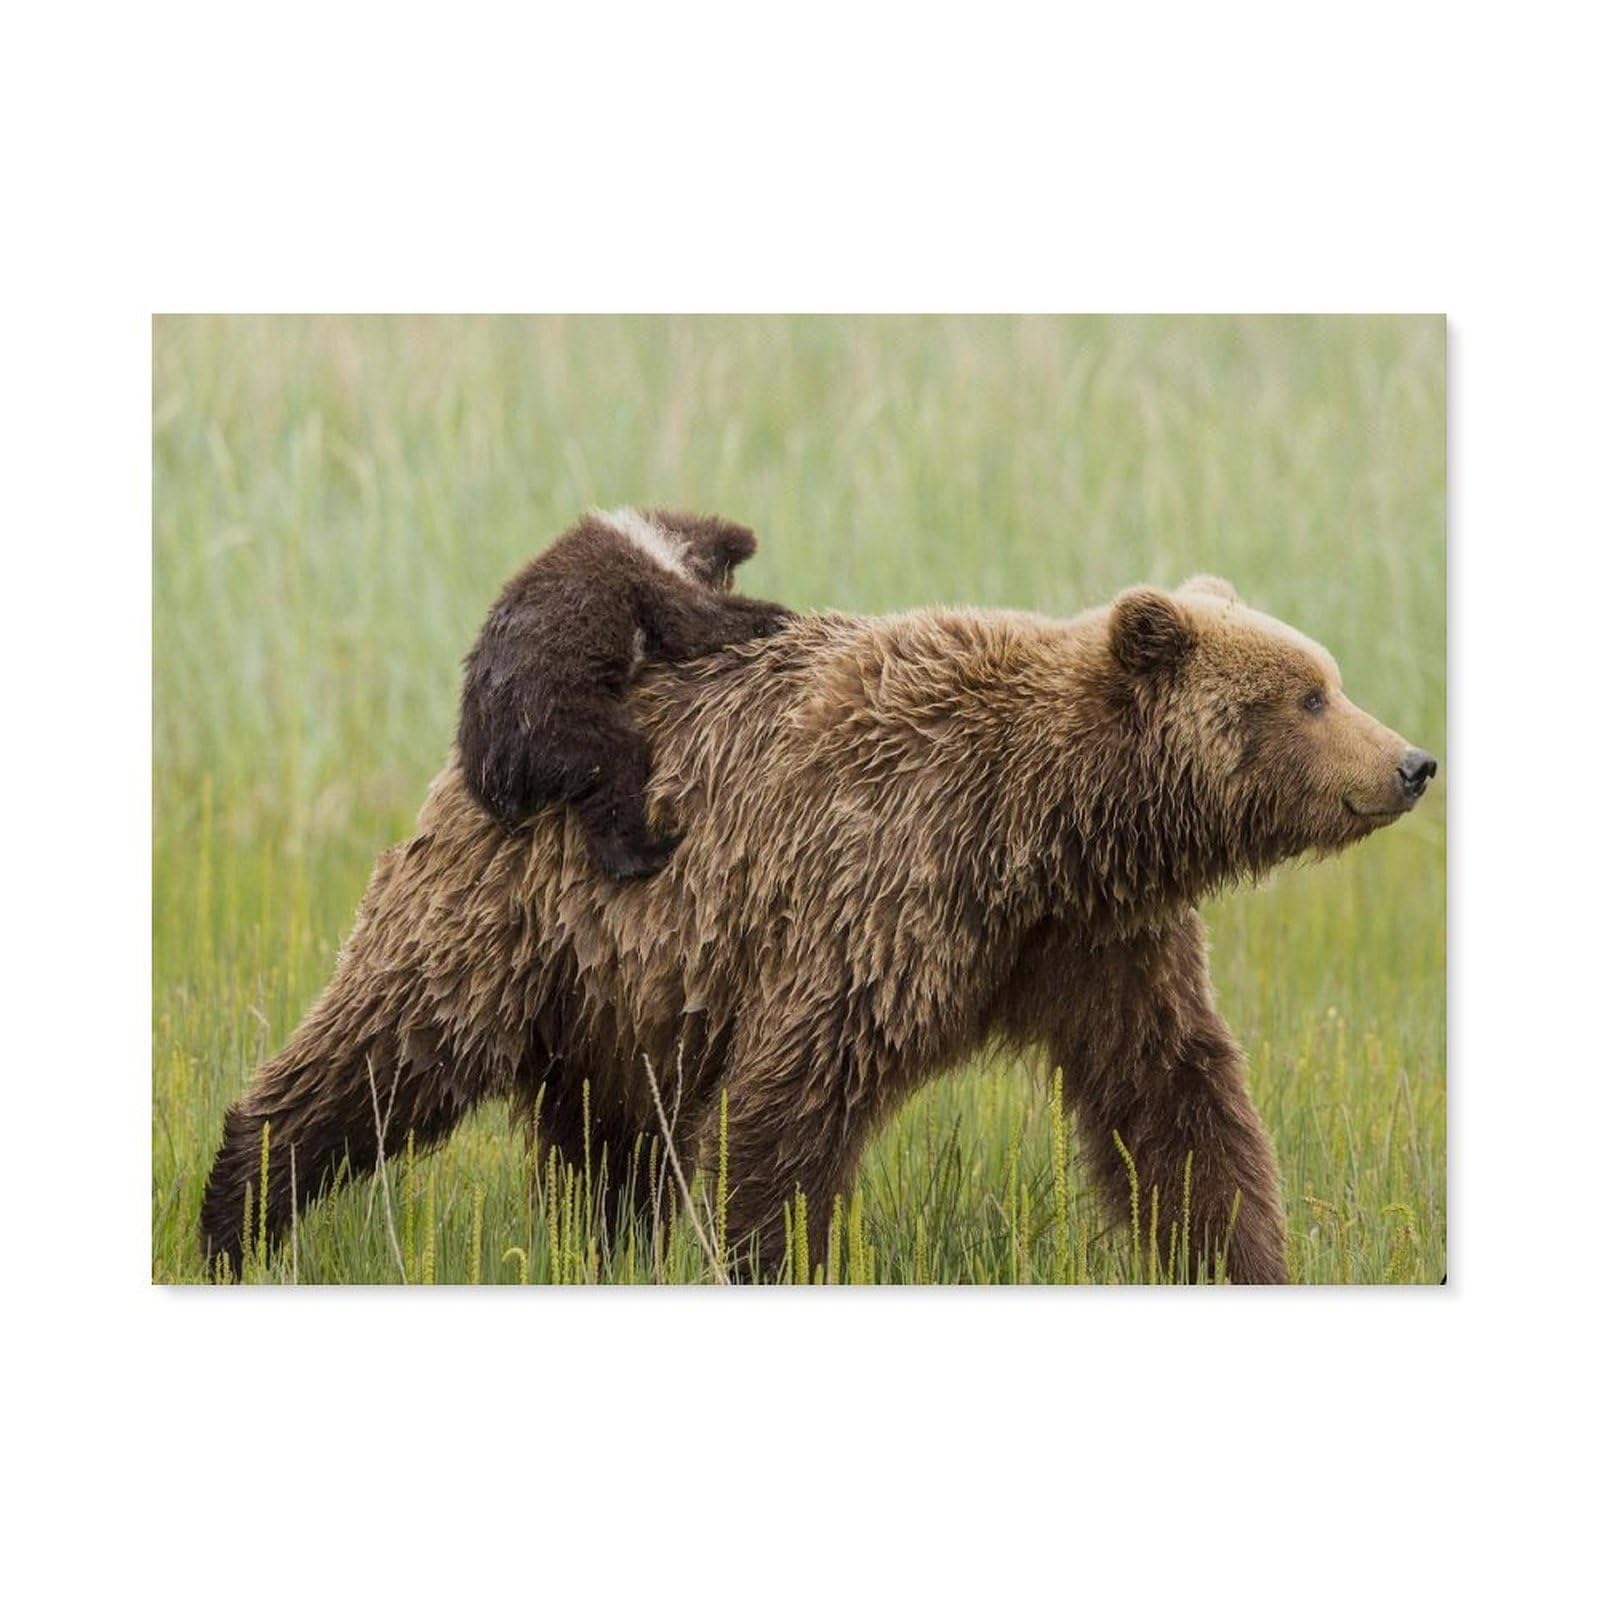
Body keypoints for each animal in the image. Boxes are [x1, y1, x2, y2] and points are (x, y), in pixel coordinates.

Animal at [199, 575, 1436, 1283]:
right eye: (1308, 695)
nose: (1413, 760)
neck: (1045, 828)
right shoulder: (883, 892)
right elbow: (795, 1104)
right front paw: (769, 1256)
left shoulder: (1095, 944)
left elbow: (1174, 1102)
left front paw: (1240, 1256)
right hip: (515, 911)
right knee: (388, 1050)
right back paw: (233, 1212)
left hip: (626, 984)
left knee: (613, 1138)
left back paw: (606, 1248)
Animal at [457, 506, 791, 878]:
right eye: (725, 580)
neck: (654, 540)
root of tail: (490, 775)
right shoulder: (643, 581)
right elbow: (692, 625)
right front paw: (776, 614)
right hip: (557, 720)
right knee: (613, 771)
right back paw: (651, 850)